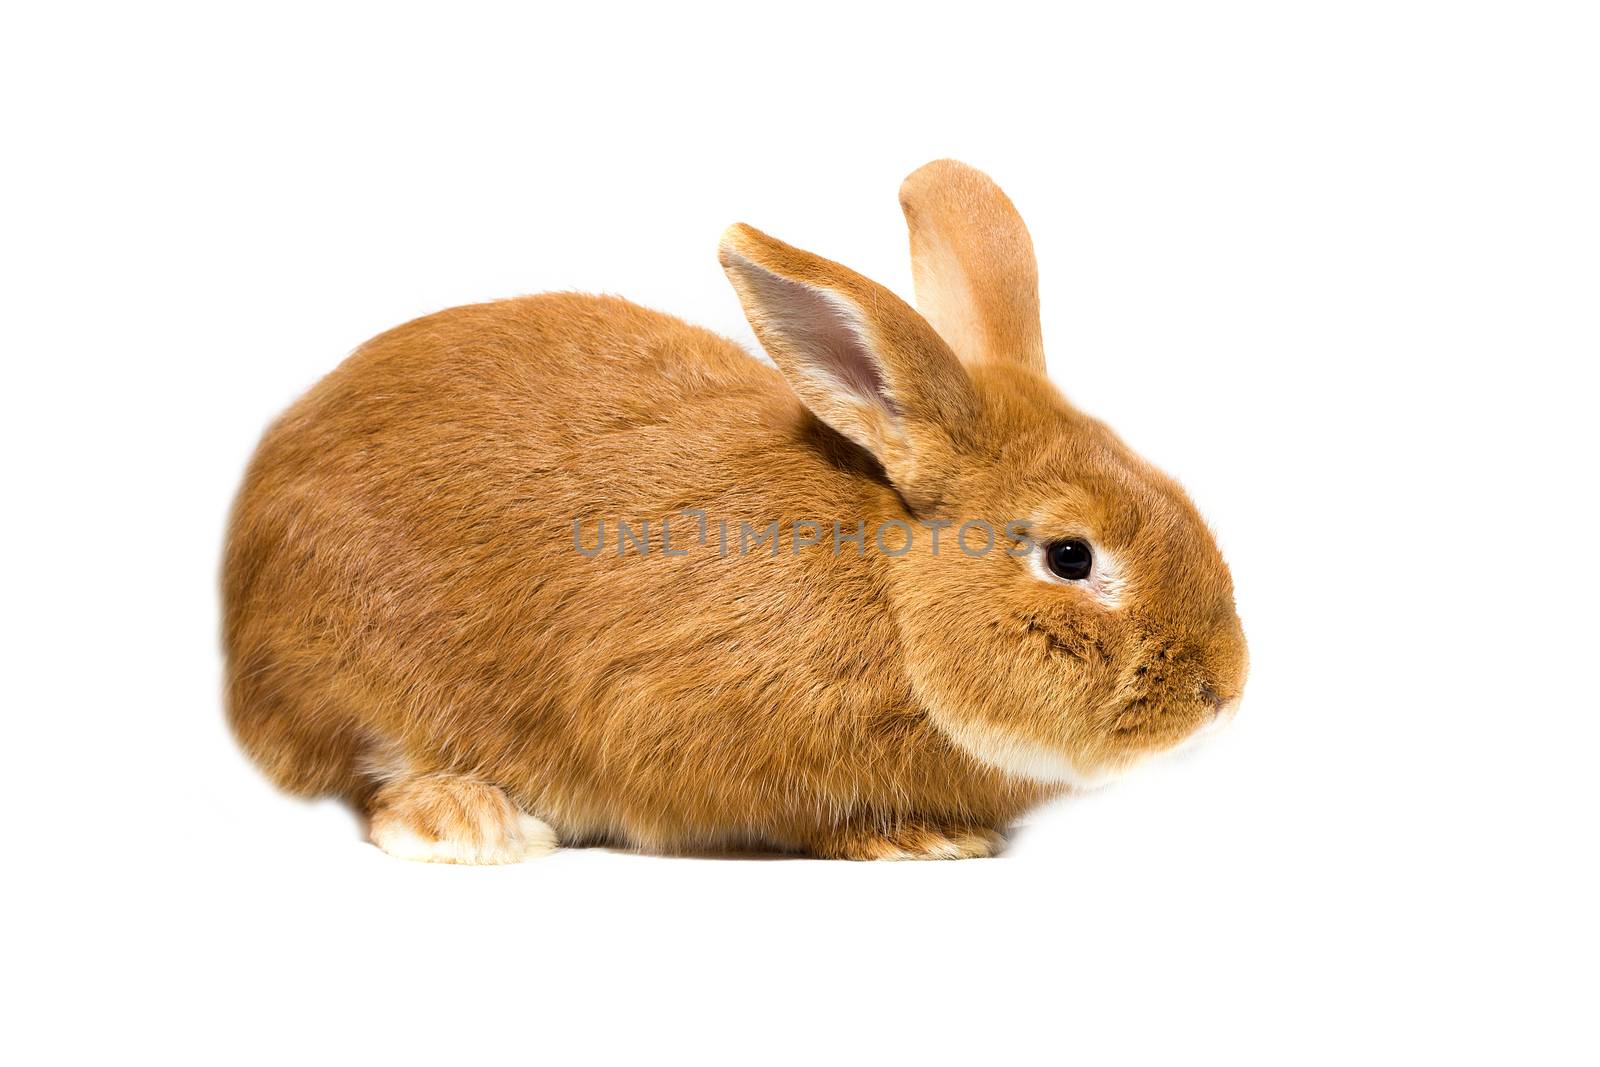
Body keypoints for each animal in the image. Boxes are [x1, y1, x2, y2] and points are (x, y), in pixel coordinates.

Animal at [222, 158, 1248, 863]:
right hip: (347, 660)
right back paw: (469, 821)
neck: (892, 591)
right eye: (1071, 556)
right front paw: (917, 839)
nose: (1225, 689)